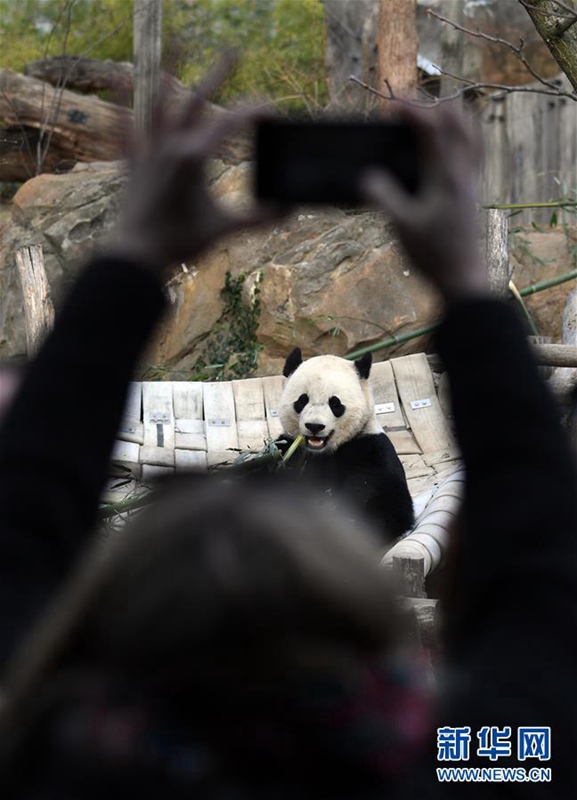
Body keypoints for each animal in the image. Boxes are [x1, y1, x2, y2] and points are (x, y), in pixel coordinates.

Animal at [279, 347, 415, 543]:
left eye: (335, 403)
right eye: (302, 400)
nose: (314, 426)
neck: (322, 452)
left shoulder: (370, 447)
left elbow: (387, 499)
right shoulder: (288, 449)